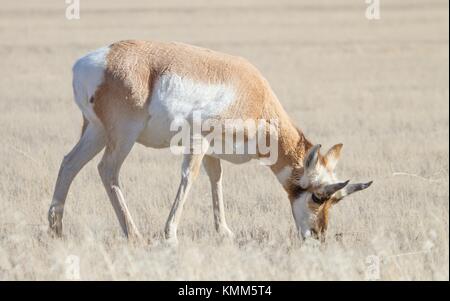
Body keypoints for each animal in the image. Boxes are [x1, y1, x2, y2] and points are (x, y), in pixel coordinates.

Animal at [48, 39, 372, 243]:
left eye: (336, 199)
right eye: (318, 196)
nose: (317, 237)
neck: (253, 94)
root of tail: (94, 61)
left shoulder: (214, 153)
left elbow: (216, 180)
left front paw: (224, 232)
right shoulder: (198, 143)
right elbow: (188, 178)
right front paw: (170, 235)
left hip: (95, 131)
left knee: (68, 164)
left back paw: (56, 230)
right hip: (123, 135)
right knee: (107, 170)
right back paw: (134, 234)